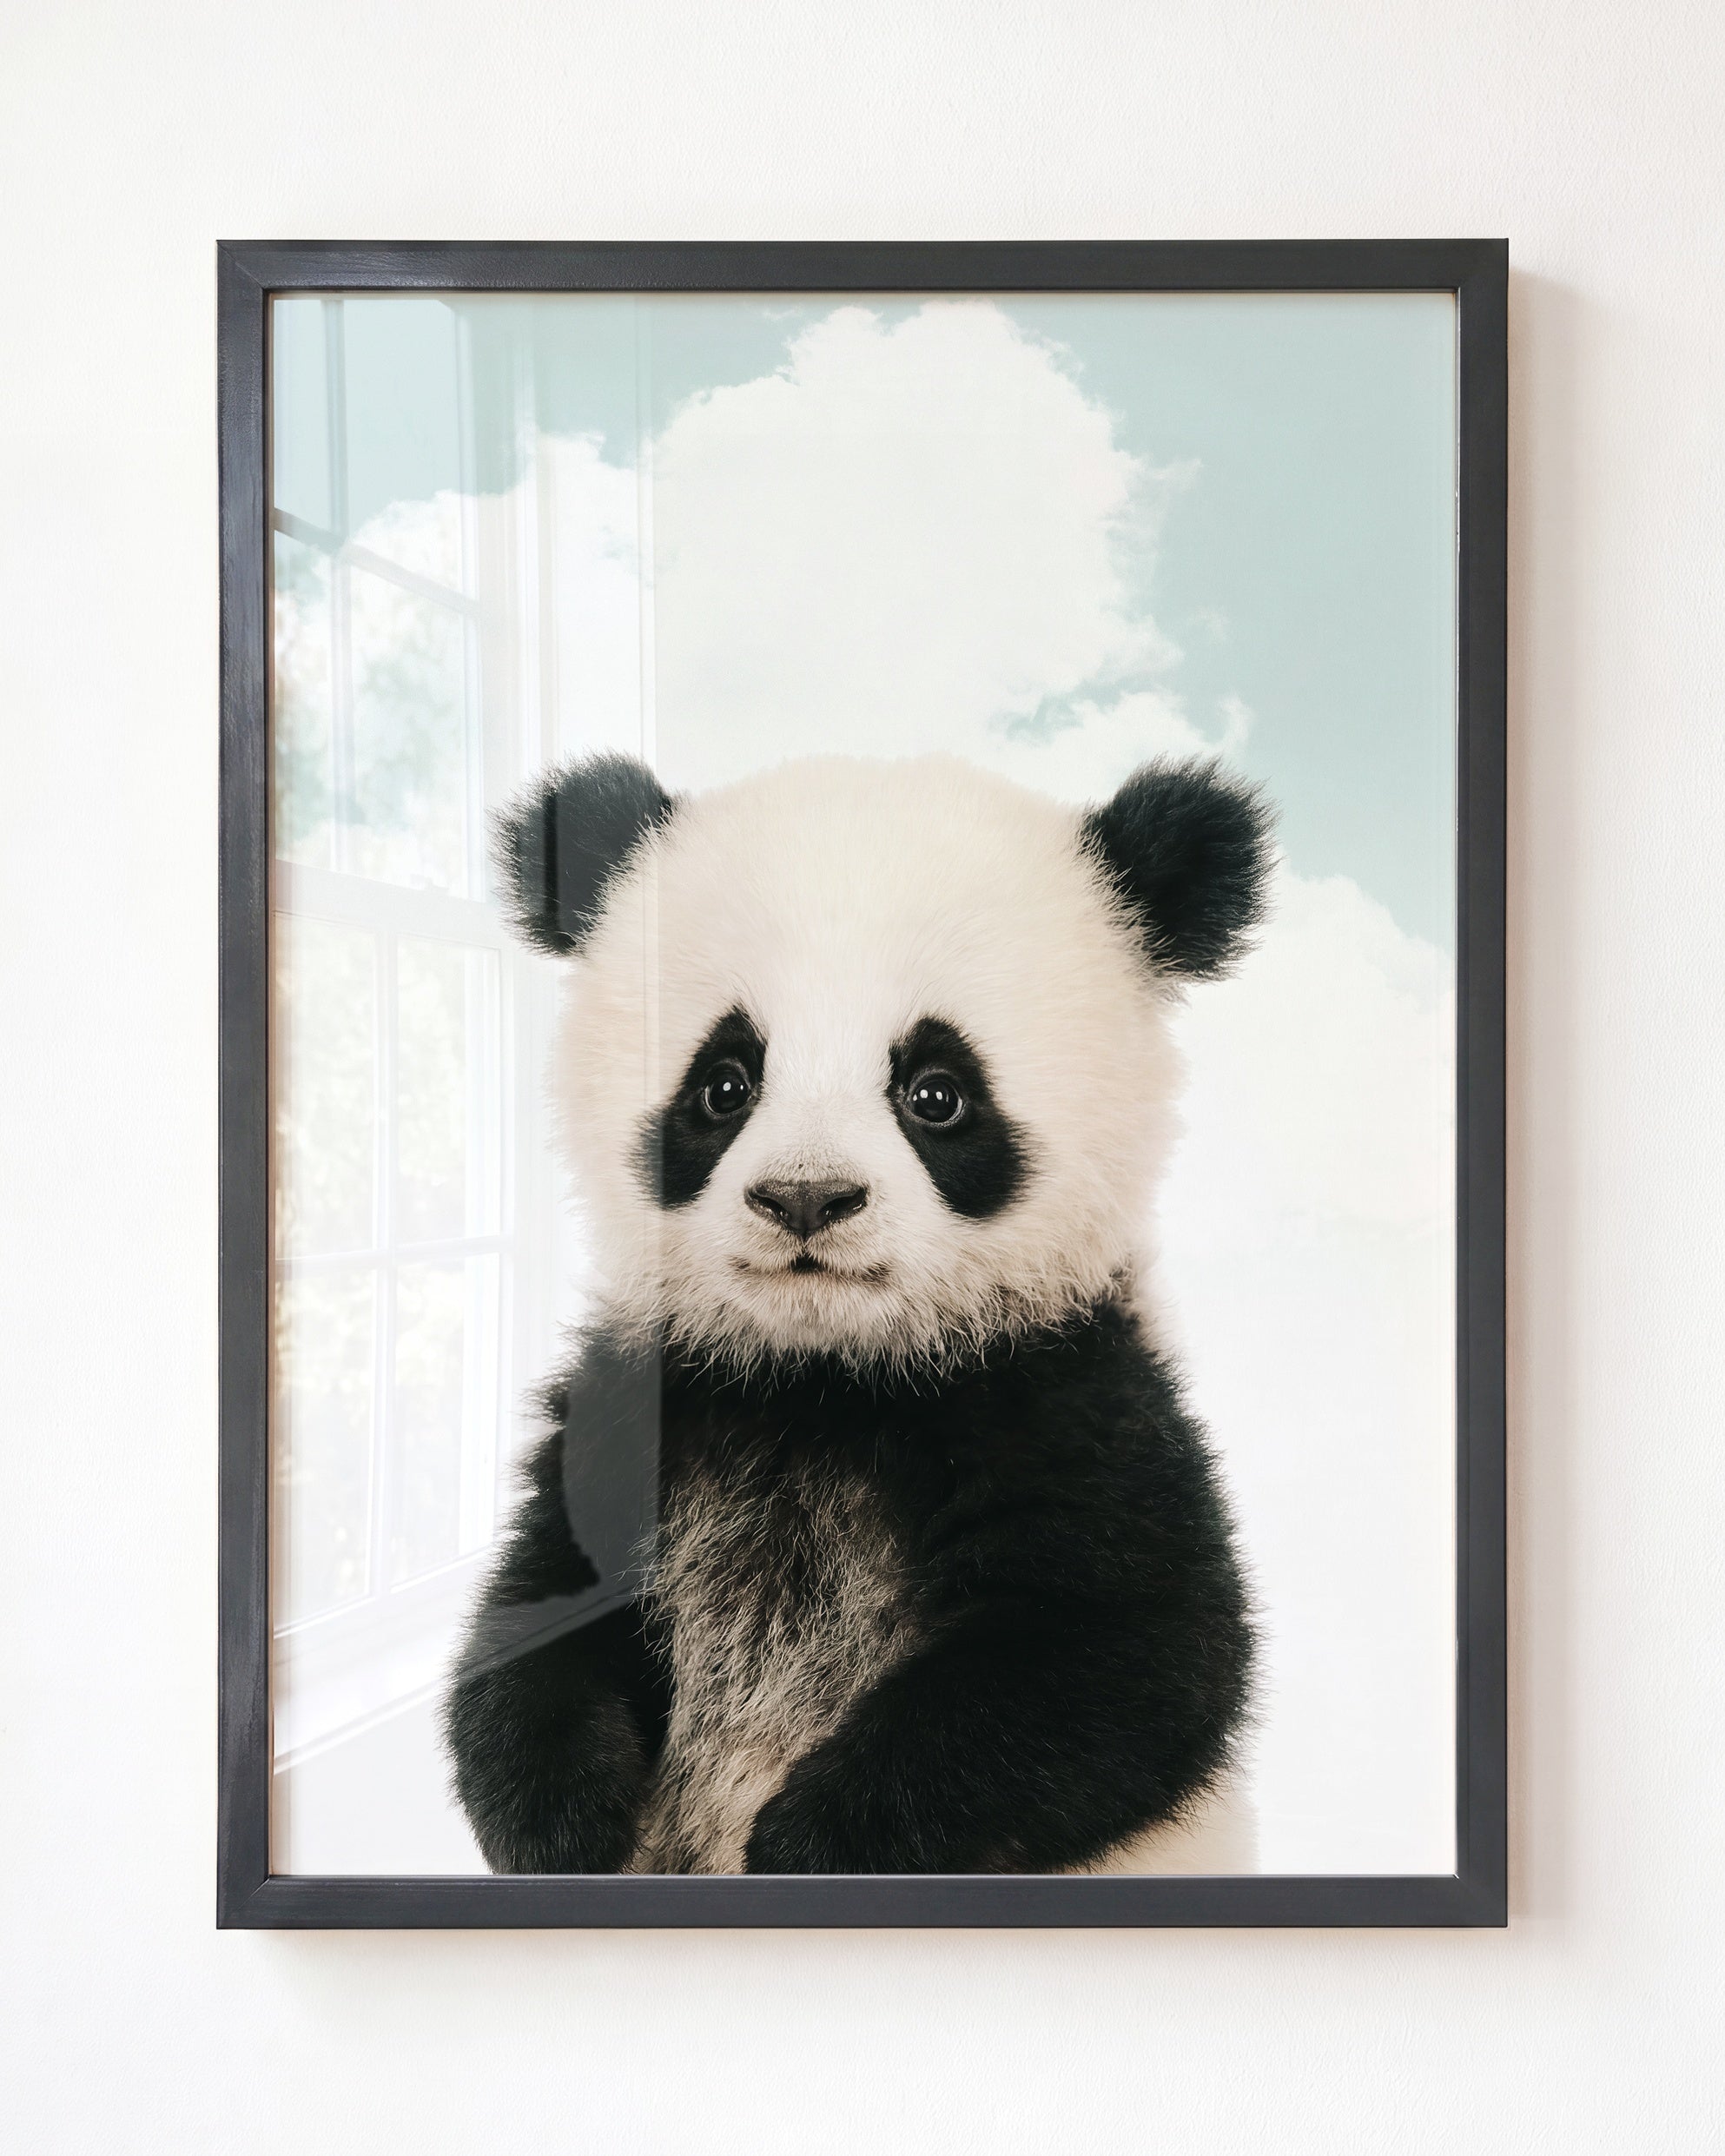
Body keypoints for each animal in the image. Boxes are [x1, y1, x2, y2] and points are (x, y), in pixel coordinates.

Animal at [443, 750, 1270, 1876]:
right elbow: (538, 1610)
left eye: (936, 1091)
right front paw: (565, 1821)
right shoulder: (644, 1402)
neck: (826, 1374)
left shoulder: (1071, 1393)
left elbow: (1128, 1656)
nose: (806, 1198)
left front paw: (811, 1841)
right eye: (724, 1083)